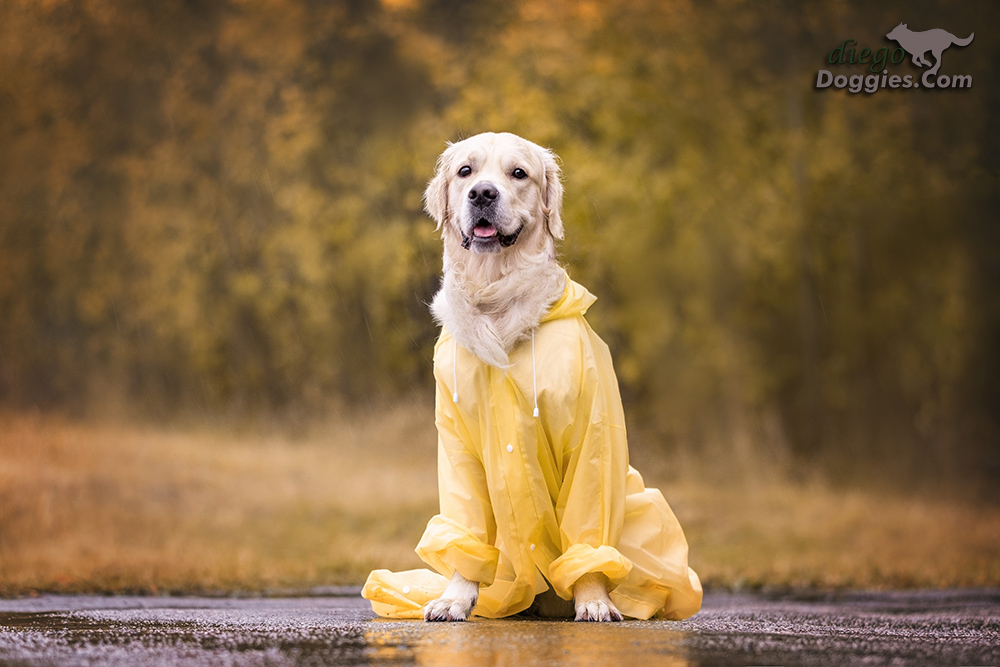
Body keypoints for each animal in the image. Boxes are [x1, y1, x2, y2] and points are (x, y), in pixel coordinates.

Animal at [362, 132, 704, 628]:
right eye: (465, 171)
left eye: (518, 173)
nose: (482, 194)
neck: (497, 301)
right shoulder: (458, 446)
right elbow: (466, 530)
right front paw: (454, 598)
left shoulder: (591, 435)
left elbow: (588, 528)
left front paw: (593, 599)